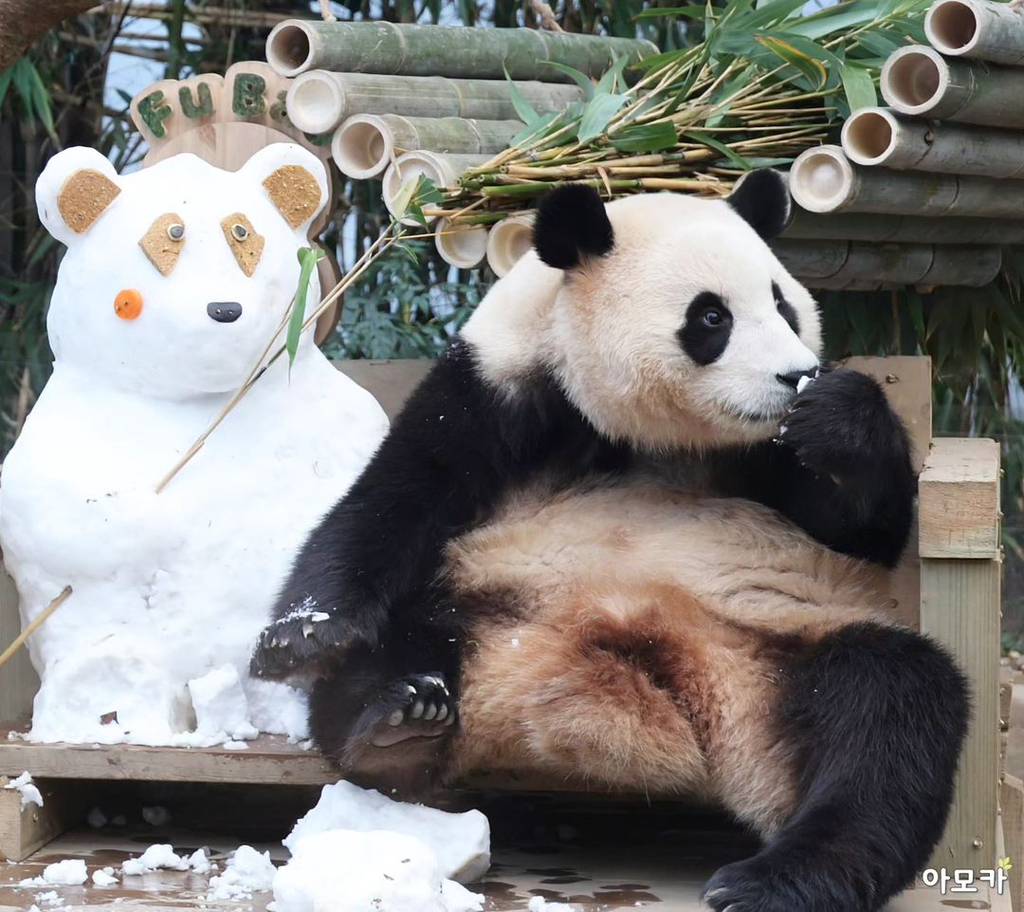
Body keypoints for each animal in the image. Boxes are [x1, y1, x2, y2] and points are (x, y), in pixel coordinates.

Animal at [253, 170, 966, 912]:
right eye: (712, 318)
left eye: (784, 306)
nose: (793, 376)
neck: (647, 430)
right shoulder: (496, 391)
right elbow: (397, 497)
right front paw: (302, 635)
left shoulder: (766, 453)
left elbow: (865, 532)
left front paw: (833, 412)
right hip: (481, 607)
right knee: (393, 646)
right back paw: (397, 721)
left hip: (776, 642)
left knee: (889, 710)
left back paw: (775, 880)